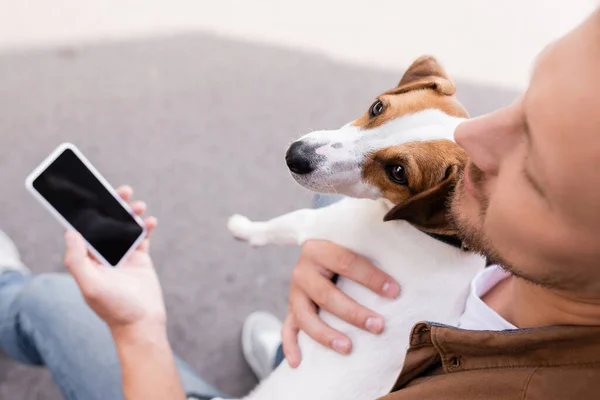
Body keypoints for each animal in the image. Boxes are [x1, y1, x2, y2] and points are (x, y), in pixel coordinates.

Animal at [225, 56, 488, 400]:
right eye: (377, 107)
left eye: (398, 172)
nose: (295, 155)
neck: (441, 237)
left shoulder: (326, 225)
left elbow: (282, 224)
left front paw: (243, 227)